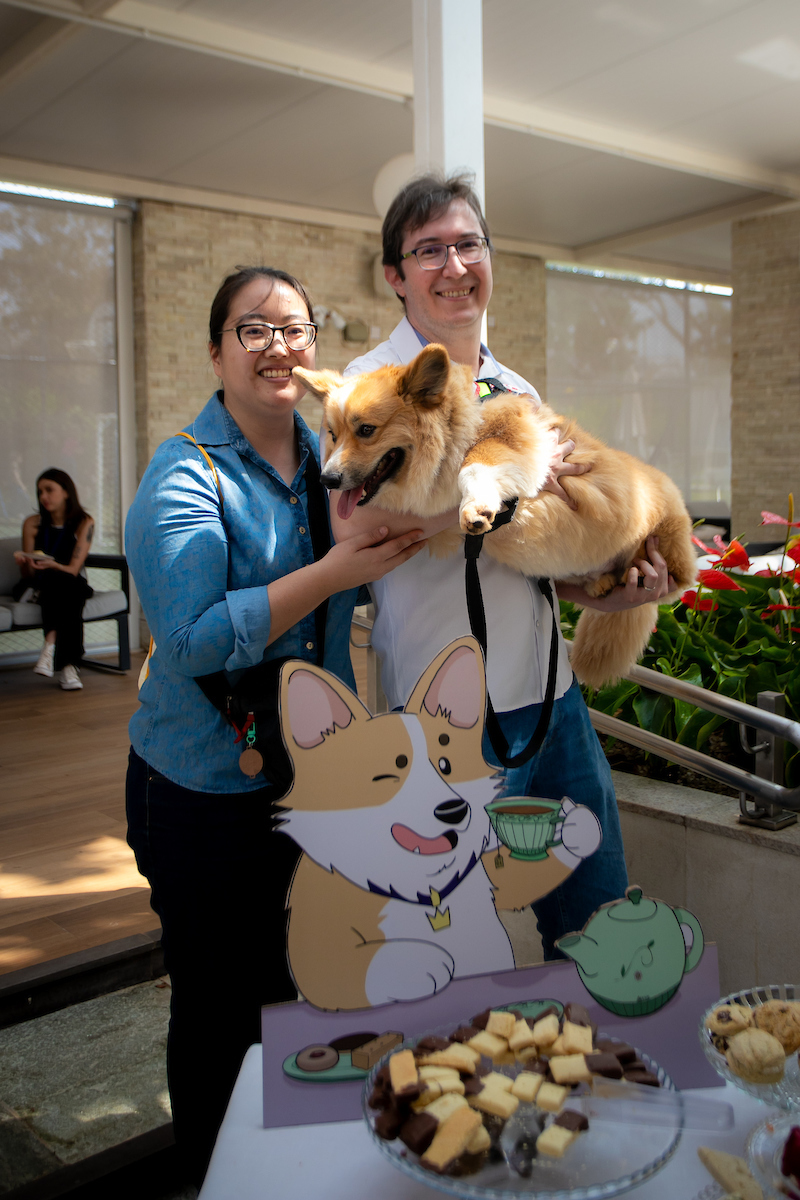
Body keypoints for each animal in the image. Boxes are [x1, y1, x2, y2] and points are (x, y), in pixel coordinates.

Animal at [278, 638, 597, 1012]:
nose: (454, 811)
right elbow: (340, 969)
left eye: (445, 765)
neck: (426, 889)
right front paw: (420, 965)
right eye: (387, 777)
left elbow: (520, 879)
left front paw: (578, 827)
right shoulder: (318, 928)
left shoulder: (486, 875)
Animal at [293, 343, 695, 691]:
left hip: (666, 549)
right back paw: (603, 583)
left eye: (366, 430)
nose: (326, 479)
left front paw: (476, 505)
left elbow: (476, 463)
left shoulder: (509, 436)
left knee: (672, 578)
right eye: (332, 434)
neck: (459, 421)